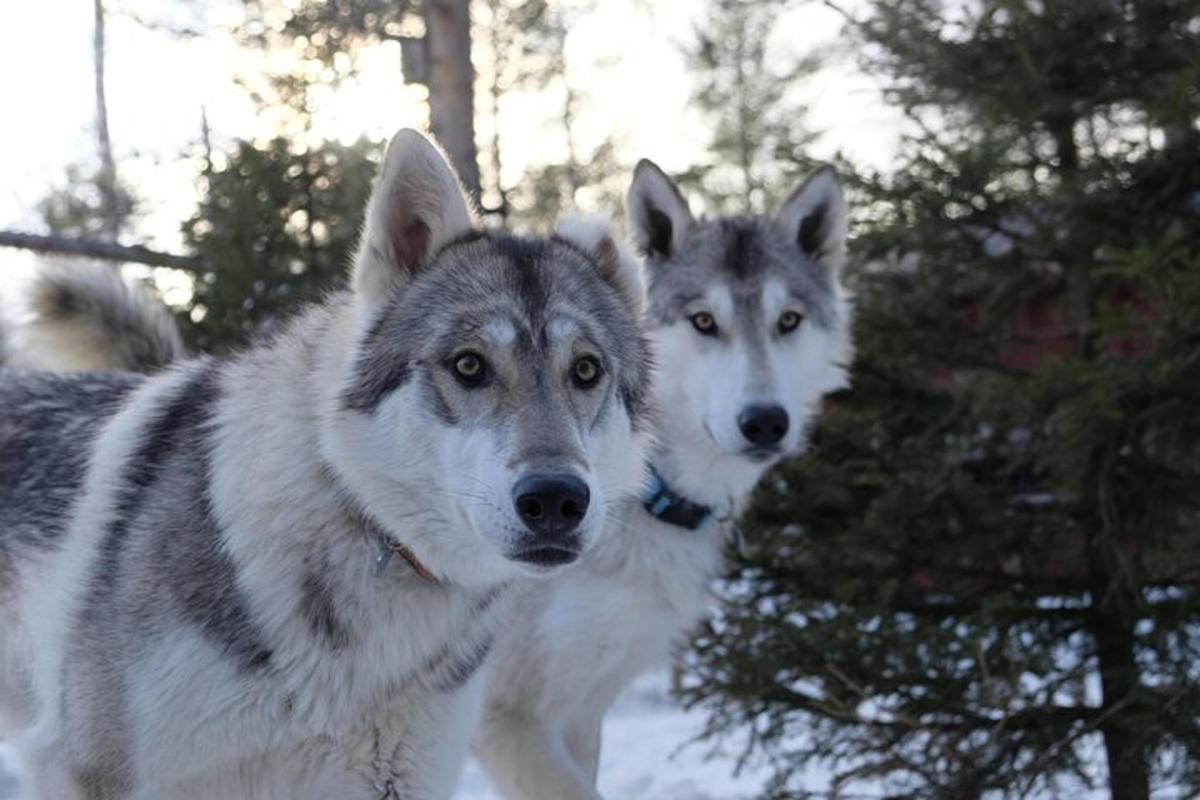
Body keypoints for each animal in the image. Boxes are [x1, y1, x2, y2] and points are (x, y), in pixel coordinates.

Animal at [475, 159, 854, 796]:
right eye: (704, 321)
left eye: (788, 322)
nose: (765, 422)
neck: (640, 492)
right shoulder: (506, 717)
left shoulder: (580, 709)